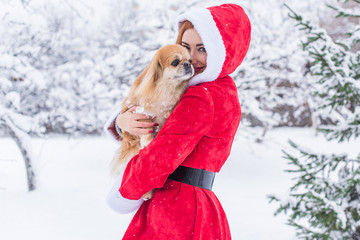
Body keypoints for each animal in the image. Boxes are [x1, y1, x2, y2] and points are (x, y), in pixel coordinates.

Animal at [112, 44, 194, 197]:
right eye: (175, 62)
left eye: (190, 60)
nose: (188, 64)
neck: (166, 89)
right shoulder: (140, 111)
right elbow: (146, 129)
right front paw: (147, 141)